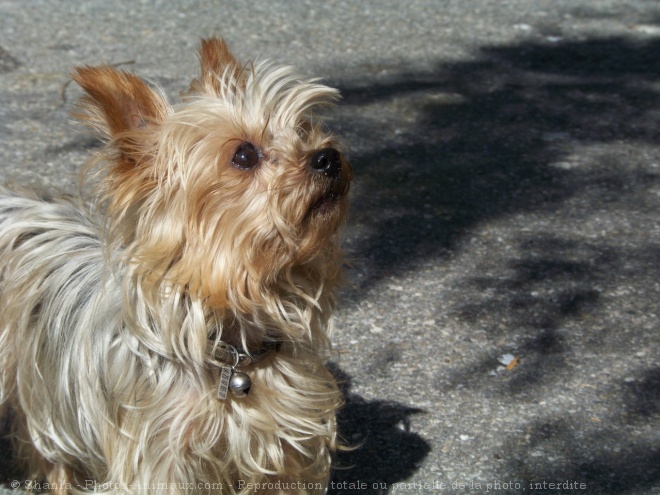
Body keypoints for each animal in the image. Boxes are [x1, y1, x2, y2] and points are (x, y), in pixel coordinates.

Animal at [0, 36, 350, 494]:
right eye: (244, 155)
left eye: (305, 128)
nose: (328, 157)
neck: (234, 354)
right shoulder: (158, 456)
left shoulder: (286, 443)